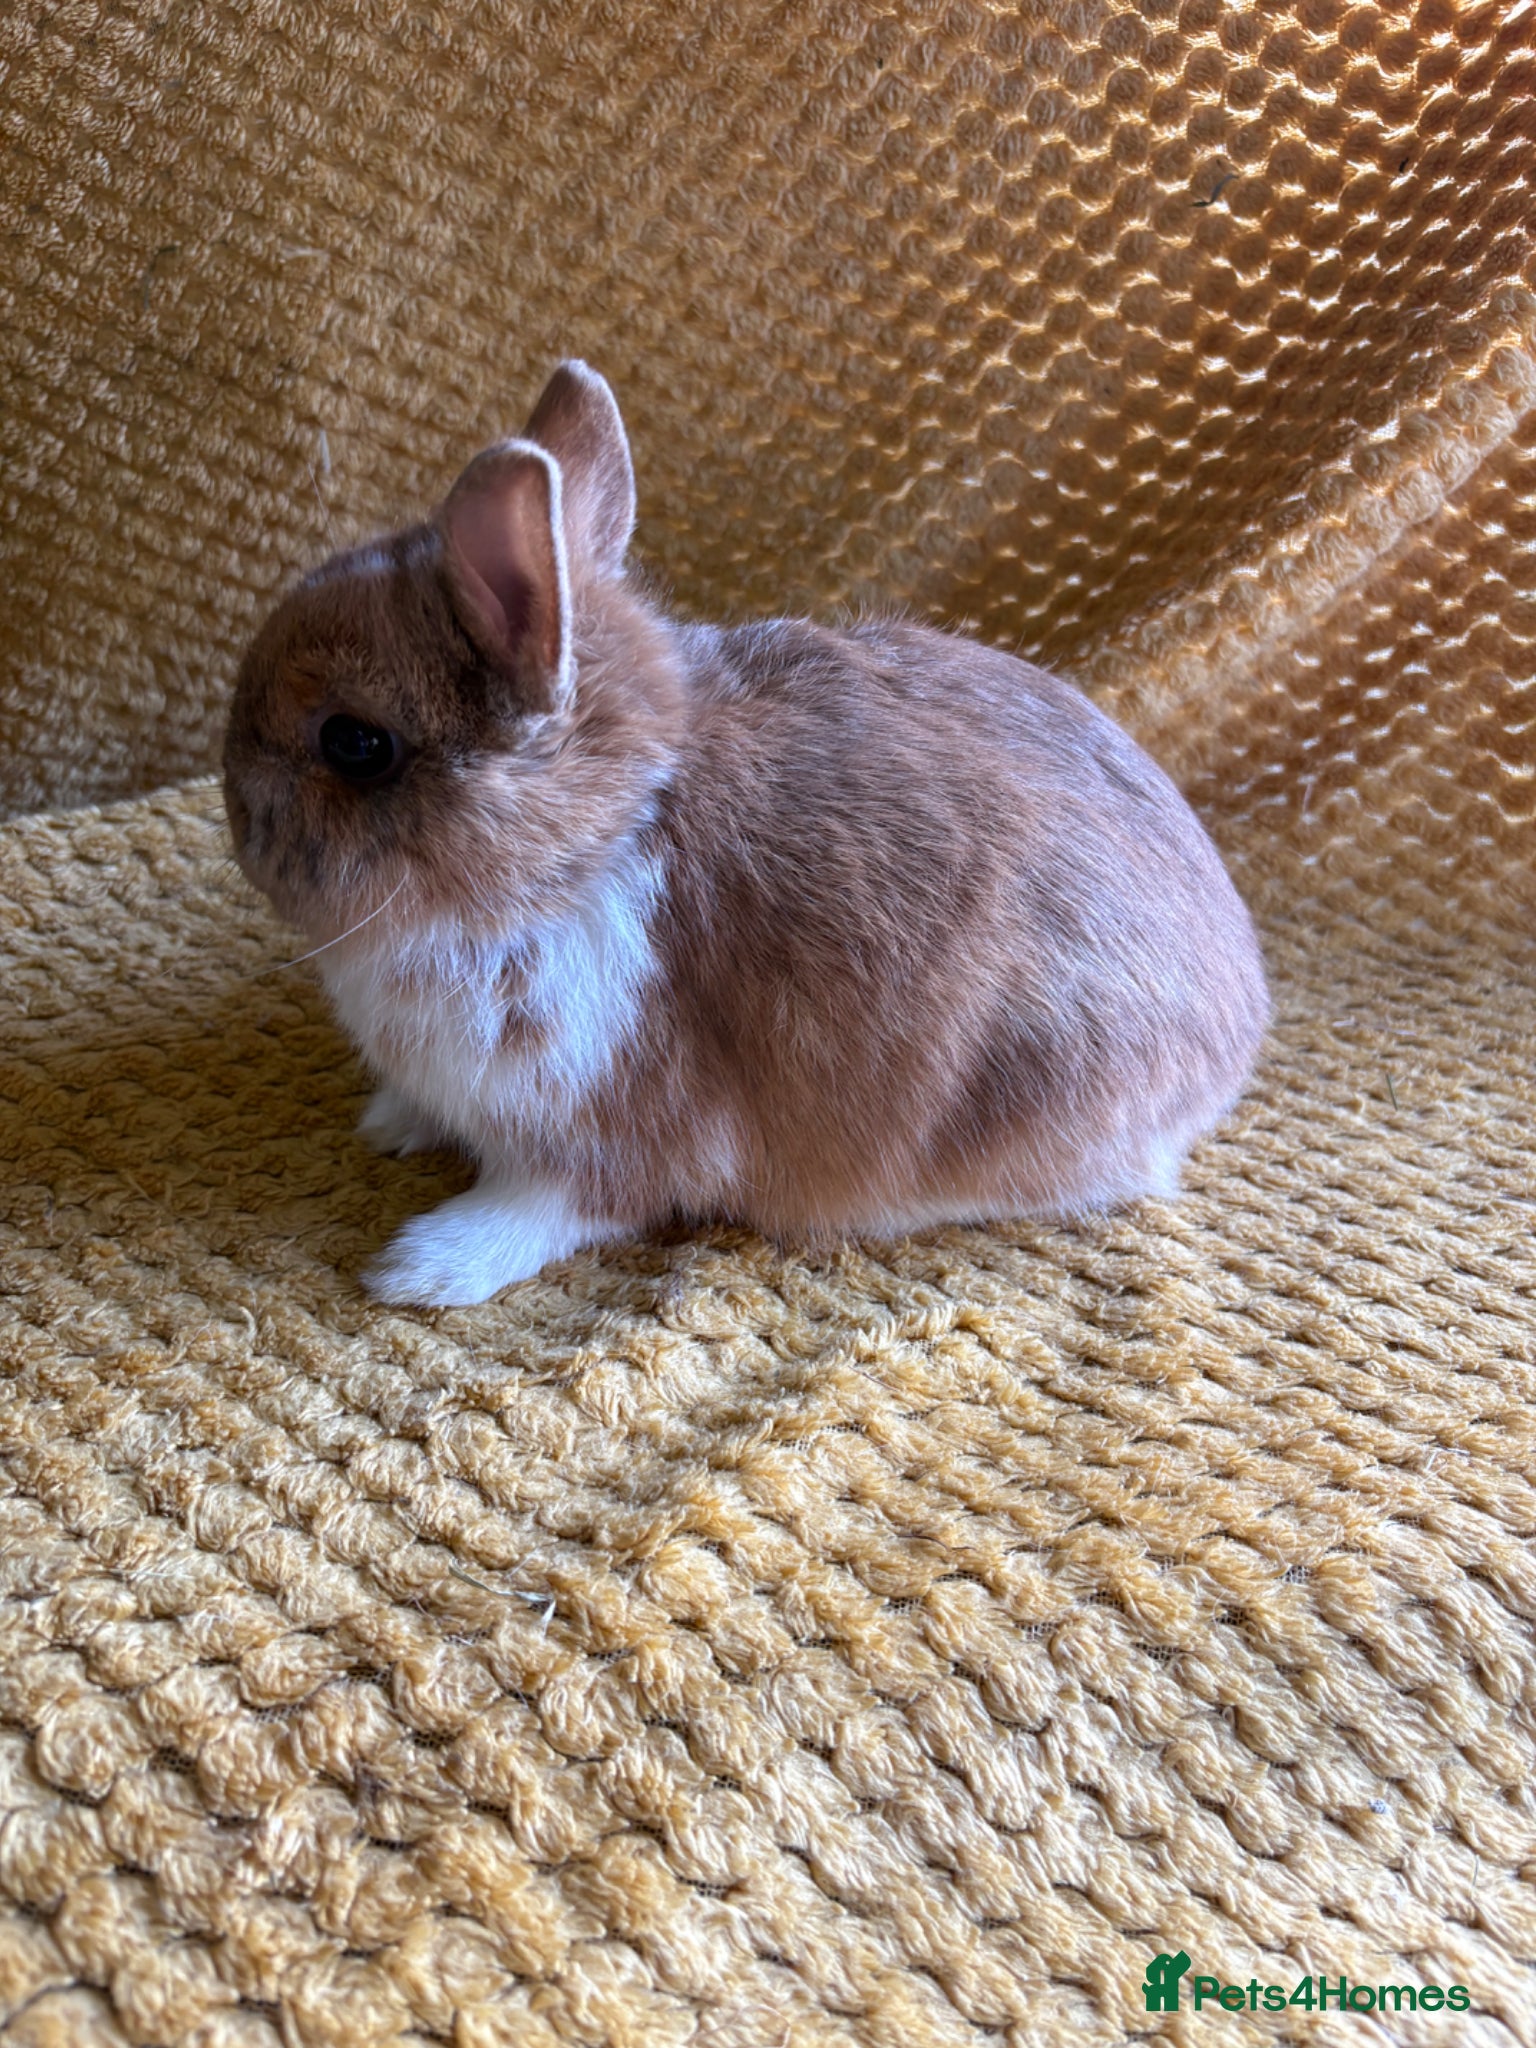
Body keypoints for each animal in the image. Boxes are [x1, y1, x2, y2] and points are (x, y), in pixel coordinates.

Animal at [223, 360, 1269, 1306]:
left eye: (355, 743)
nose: (235, 811)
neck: (588, 845)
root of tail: (1241, 1028)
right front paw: (388, 1126)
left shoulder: (615, 1121)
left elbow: (551, 1207)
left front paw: (420, 1269)